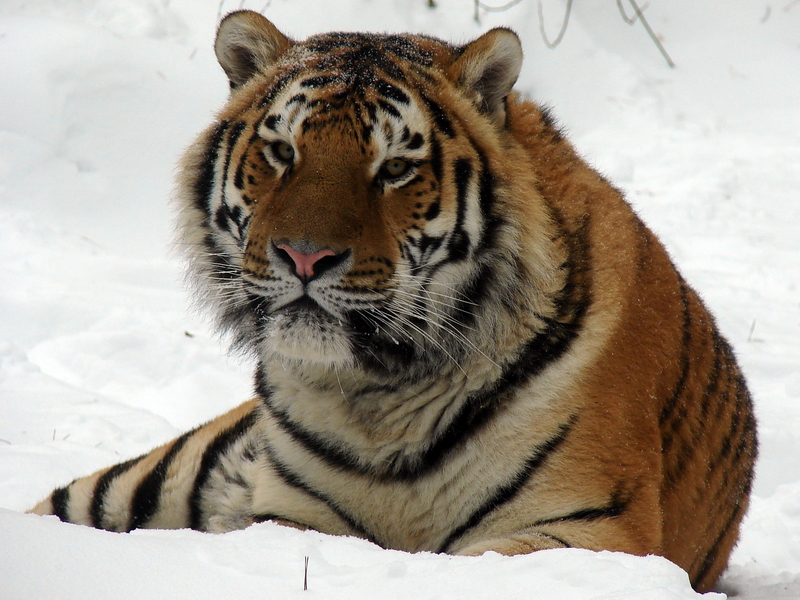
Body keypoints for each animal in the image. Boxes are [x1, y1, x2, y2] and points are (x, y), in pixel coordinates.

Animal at [29, 10, 757, 593]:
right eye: (281, 151)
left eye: (396, 168)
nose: (304, 257)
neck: (379, 397)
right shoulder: (292, 517)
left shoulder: (591, 532)